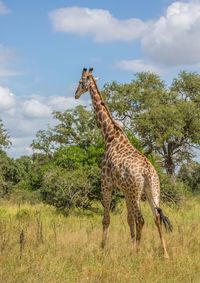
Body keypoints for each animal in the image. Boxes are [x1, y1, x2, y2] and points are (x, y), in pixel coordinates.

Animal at [75, 67, 172, 258]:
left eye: (81, 82)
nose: (75, 94)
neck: (109, 136)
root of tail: (147, 171)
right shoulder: (125, 190)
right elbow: (128, 219)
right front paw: (131, 245)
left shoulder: (106, 183)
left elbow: (106, 218)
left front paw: (102, 248)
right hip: (151, 190)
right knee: (156, 217)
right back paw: (164, 254)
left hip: (136, 192)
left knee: (142, 219)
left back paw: (138, 253)